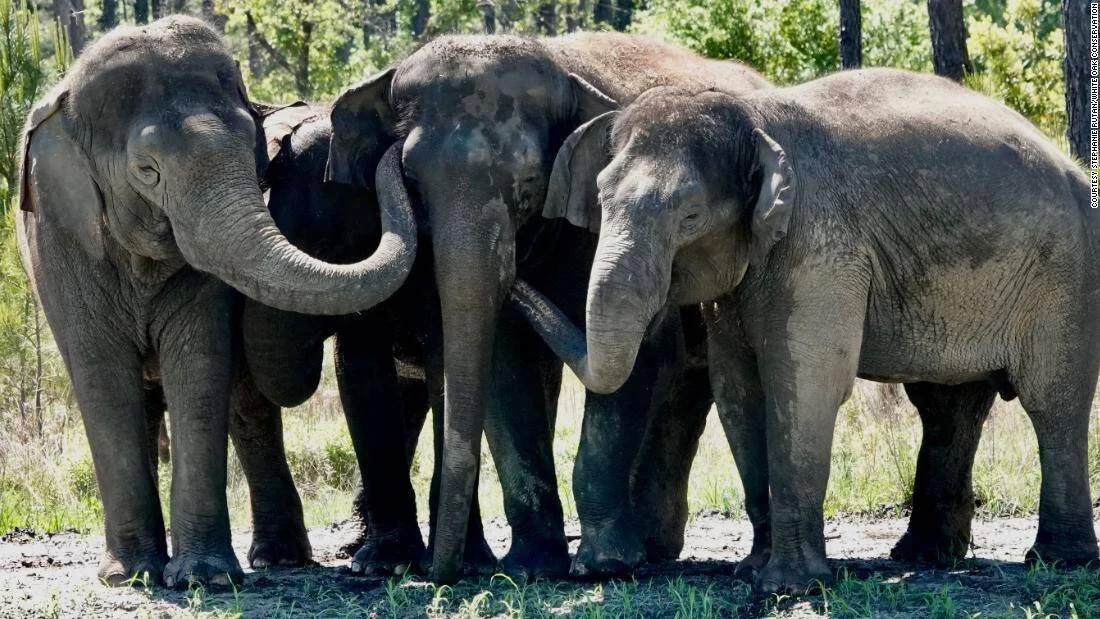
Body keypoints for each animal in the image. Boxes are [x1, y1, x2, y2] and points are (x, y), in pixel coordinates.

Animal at [16, 17, 416, 587]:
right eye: (147, 171)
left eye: (254, 149)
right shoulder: (61, 241)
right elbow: (101, 375)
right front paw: (130, 577)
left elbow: (199, 365)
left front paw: (203, 578)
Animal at [237, 102, 494, 575]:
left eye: (329, 247)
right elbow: (361, 374)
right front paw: (384, 564)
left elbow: (446, 367)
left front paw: (462, 561)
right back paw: (353, 548)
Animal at [327, 33, 771, 581]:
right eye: (410, 179)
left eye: (530, 183)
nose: (442, 575)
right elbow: (503, 365)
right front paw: (532, 568)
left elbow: (642, 356)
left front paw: (603, 567)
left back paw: (647, 549)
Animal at [512, 68, 1098, 593]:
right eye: (601, 199)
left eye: (690, 215)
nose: (515, 278)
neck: (753, 119)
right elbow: (738, 391)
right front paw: (752, 572)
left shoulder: (819, 246)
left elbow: (804, 383)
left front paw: (788, 588)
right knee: (949, 406)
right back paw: (926, 556)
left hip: (1065, 283)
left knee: (1053, 403)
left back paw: (1057, 562)